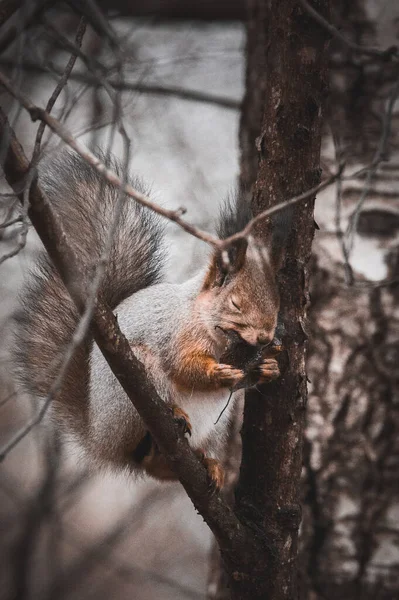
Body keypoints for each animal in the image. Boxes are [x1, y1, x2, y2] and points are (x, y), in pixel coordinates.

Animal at [12, 149, 288, 488]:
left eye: (277, 303)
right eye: (235, 303)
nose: (265, 338)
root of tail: (98, 437)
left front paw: (268, 367)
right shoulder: (176, 332)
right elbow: (183, 366)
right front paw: (217, 373)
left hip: (215, 425)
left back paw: (207, 463)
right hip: (132, 394)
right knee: (143, 452)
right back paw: (172, 420)